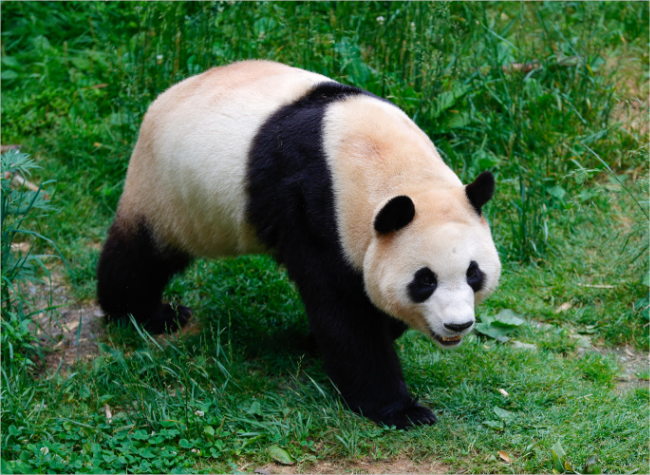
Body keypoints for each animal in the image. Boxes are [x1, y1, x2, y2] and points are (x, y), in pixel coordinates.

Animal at [97, 60, 501, 429]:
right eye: (425, 280)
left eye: (473, 274)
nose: (458, 325)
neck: (385, 161)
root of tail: (164, 96)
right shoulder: (318, 207)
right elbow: (343, 312)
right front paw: (401, 410)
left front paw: (318, 341)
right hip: (169, 191)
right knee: (141, 256)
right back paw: (146, 314)